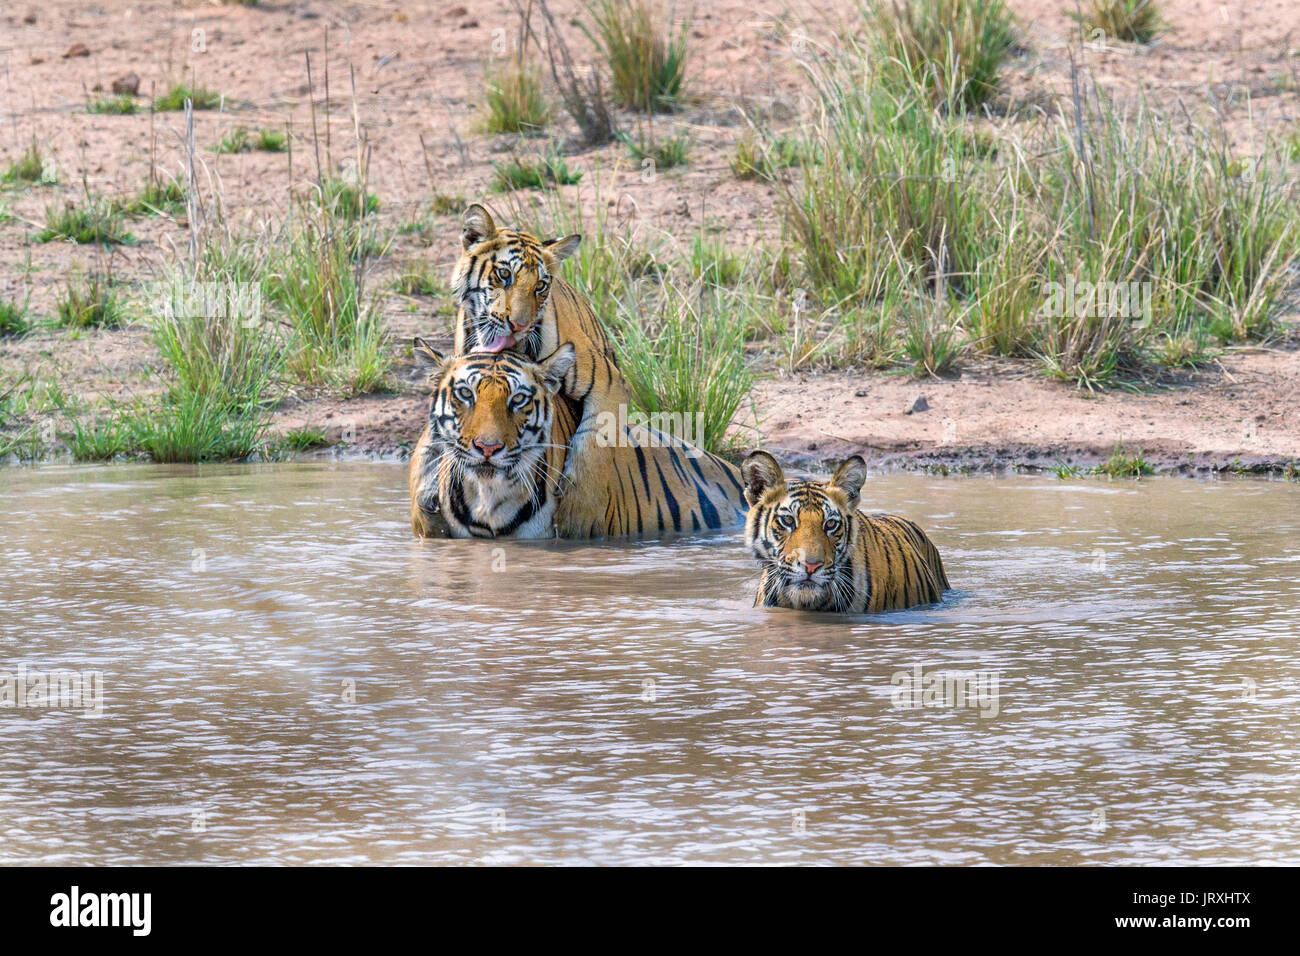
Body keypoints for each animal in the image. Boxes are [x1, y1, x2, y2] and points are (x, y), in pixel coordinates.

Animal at [449, 202, 637, 535]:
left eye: (540, 286)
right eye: (504, 275)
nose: (519, 324)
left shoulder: (610, 384)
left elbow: (594, 444)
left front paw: (578, 512)